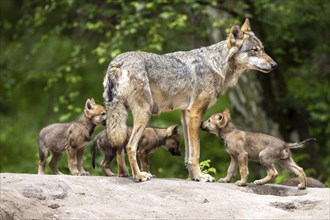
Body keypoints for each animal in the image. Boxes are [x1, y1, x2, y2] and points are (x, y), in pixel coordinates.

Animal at [104, 18, 278, 181]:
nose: (275, 65)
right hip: (143, 114)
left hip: (120, 117)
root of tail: (117, 62)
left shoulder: (185, 114)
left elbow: (188, 154)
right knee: (129, 146)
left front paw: (194, 177)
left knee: (120, 147)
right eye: (254, 50)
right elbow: (196, 153)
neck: (217, 65)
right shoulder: (195, 113)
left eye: (262, 49)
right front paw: (201, 177)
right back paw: (140, 176)